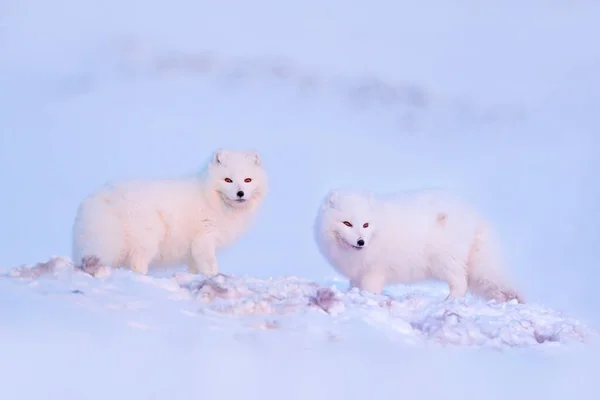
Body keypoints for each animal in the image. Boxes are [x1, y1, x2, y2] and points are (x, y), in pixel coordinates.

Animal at [71, 148, 268, 276]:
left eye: (248, 180)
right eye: (228, 180)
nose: (240, 193)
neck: (210, 197)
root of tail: (100, 197)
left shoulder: (193, 250)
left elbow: (195, 268)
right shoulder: (204, 237)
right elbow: (210, 265)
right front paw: (213, 276)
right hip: (148, 239)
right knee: (137, 264)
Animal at [314, 188, 524, 304]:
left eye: (365, 225)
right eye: (347, 223)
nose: (360, 241)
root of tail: (475, 216)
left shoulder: (374, 272)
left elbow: (370, 291)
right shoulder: (357, 274)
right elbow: (354, 288)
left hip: (444, 262)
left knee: (461, 283)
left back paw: (447, 303)